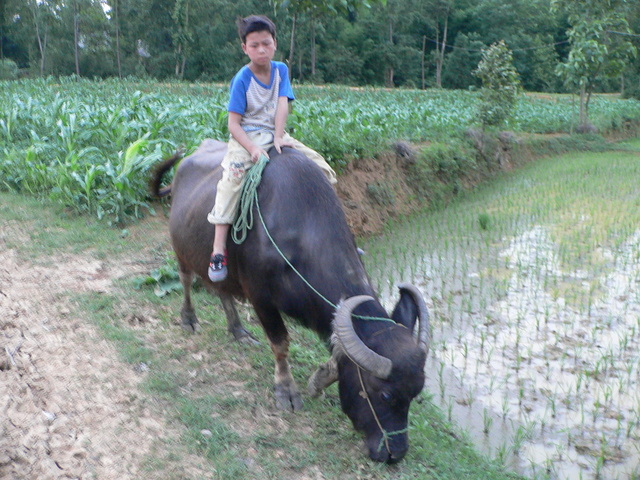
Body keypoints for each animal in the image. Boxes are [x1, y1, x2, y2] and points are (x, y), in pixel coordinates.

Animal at [150, 138, 430, 462]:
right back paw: (189, 318)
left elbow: (336, 348)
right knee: (185, 280)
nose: (395, 453)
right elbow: (281, 343)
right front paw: (286, 391)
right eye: (384, 393)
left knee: (221, 290)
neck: (301, 232)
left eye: (415, 394)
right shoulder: (261, 298)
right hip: (181, 249)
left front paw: (319, 379)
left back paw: (238, 331)